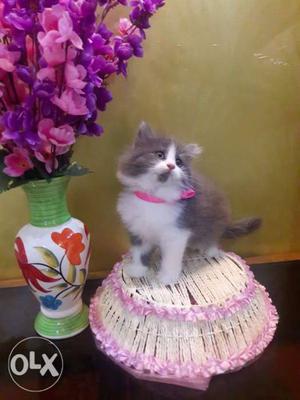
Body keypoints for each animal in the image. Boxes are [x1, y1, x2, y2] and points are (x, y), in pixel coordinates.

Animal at [116, 122, 262, 284]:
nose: (171, 166)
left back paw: (210, 250)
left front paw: (167, 277)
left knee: (212, 236)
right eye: (160, 155)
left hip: (215, 220)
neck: (154, 198)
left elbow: (171, 258)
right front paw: (137, 270)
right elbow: (139, 251)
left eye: (179, 162)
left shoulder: (177, 231)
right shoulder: (137, 227)